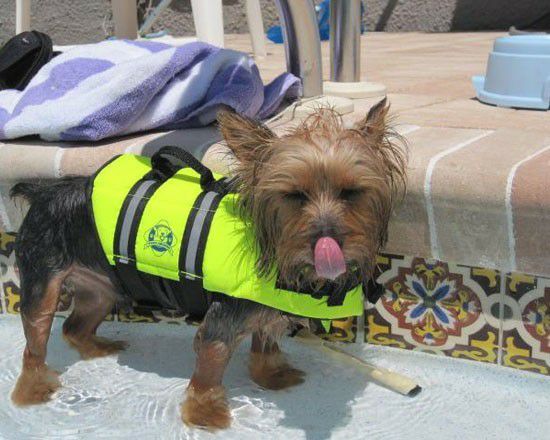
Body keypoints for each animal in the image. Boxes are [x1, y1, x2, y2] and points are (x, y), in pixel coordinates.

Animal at [9, 98, 406, 430]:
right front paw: (205, 414)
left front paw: (271, 375)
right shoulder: (221, 323)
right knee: (35, 340)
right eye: (295, 195)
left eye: (351, 193)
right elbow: (209, 371)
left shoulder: (265, 309)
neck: (276, 252)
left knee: (74, 326)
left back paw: (96, 348)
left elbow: (265, 344)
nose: (328, 240)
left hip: (101, 289)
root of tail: (45, 192)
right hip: (43, 280)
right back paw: (33, 389)